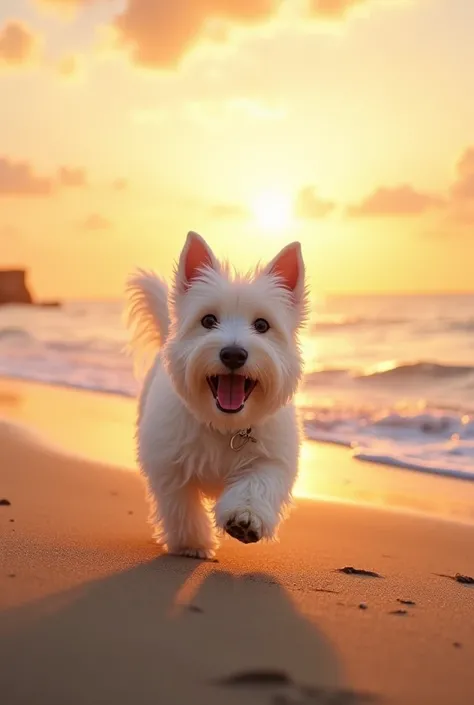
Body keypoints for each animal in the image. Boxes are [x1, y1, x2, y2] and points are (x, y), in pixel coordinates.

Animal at [126, 234, 308, 560]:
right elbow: (180, 505)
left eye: (262, 325)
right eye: (208, 320)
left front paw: (245, 518)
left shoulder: (272, 458)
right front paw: (192, 542)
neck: (224, 425)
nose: (233, 354)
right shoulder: (168, 462)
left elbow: (258, 483)